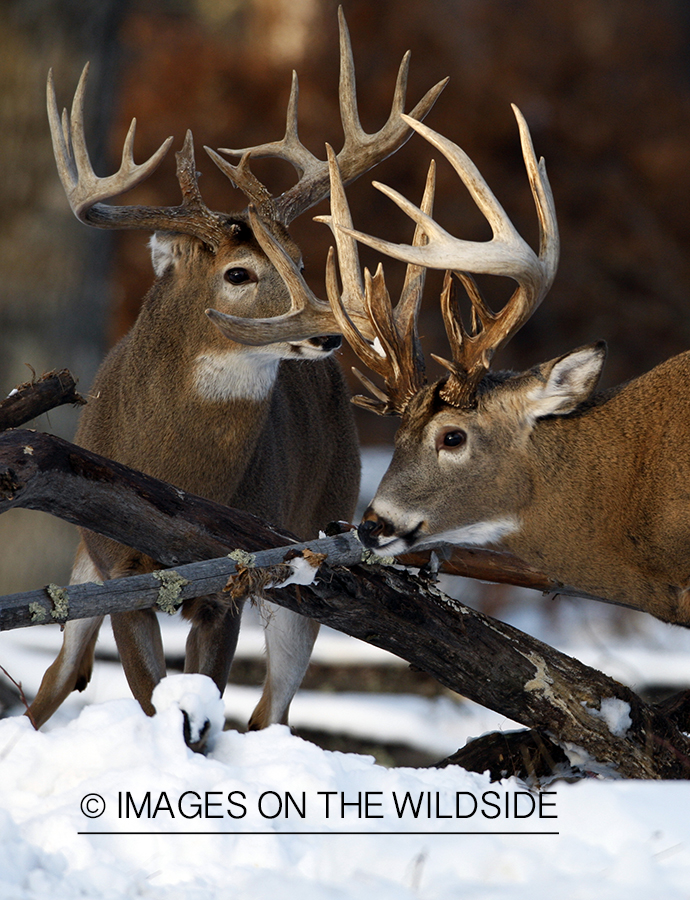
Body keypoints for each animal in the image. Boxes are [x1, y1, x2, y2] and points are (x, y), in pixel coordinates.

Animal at [26, 14, 444, 744]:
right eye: (239, 273)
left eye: (302, 261)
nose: (331, 332)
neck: (179, 472)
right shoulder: (117, 569)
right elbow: (151, 700)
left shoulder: (237, 579)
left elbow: (205, 706)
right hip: (83, 562)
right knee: (57, 675)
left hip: (315, 539)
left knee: (270, 710)